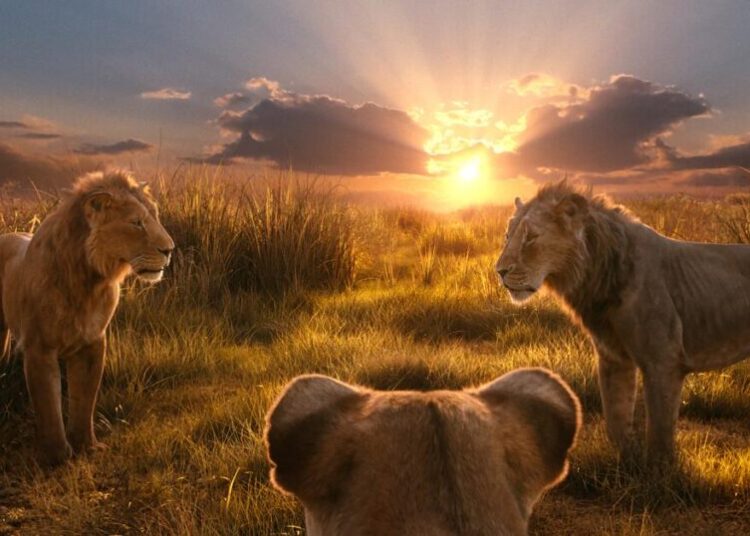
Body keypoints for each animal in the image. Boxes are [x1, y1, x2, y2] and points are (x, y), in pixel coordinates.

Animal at [0, 170, 174, 465]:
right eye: (137, 222)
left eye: (155, 217)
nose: (170, 250)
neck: (88, 281)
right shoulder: (39, 348)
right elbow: (49, 405)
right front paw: (57, 457)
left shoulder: (93, 343)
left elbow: (84, 400)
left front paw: (87, 447)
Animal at [495, 180, 750, 462]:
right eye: (508, 236)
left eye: (530, 237)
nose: (500, 271)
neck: (596, 276)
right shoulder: (613, 358)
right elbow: (615, 418)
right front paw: (627, 460)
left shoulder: (663, 361)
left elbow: (660, 432)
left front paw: (660, 470)